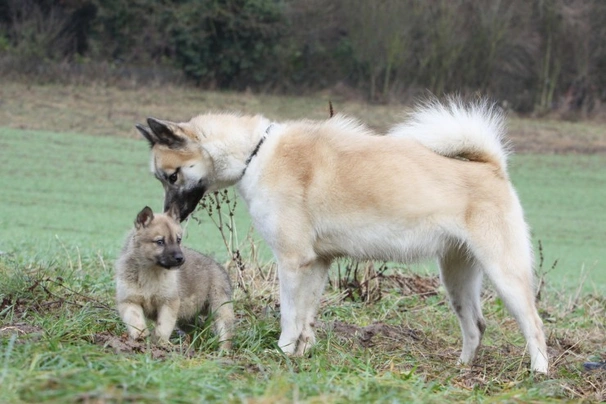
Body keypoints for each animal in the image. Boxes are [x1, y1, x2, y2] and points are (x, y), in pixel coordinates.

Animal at [137, 98, 552, 372]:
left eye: (172, 176)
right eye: (161, 178)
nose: (171, 217)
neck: (256, 153)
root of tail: (491, 166)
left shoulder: (292, 263)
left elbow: (289, 315)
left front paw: (283, 352)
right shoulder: (318, 264)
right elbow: (306, 317)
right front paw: (302, 353)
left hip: (504, 274)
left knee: (534, 325)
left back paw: (539, 373)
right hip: (456, 279)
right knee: (475, 327)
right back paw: (461, 368)